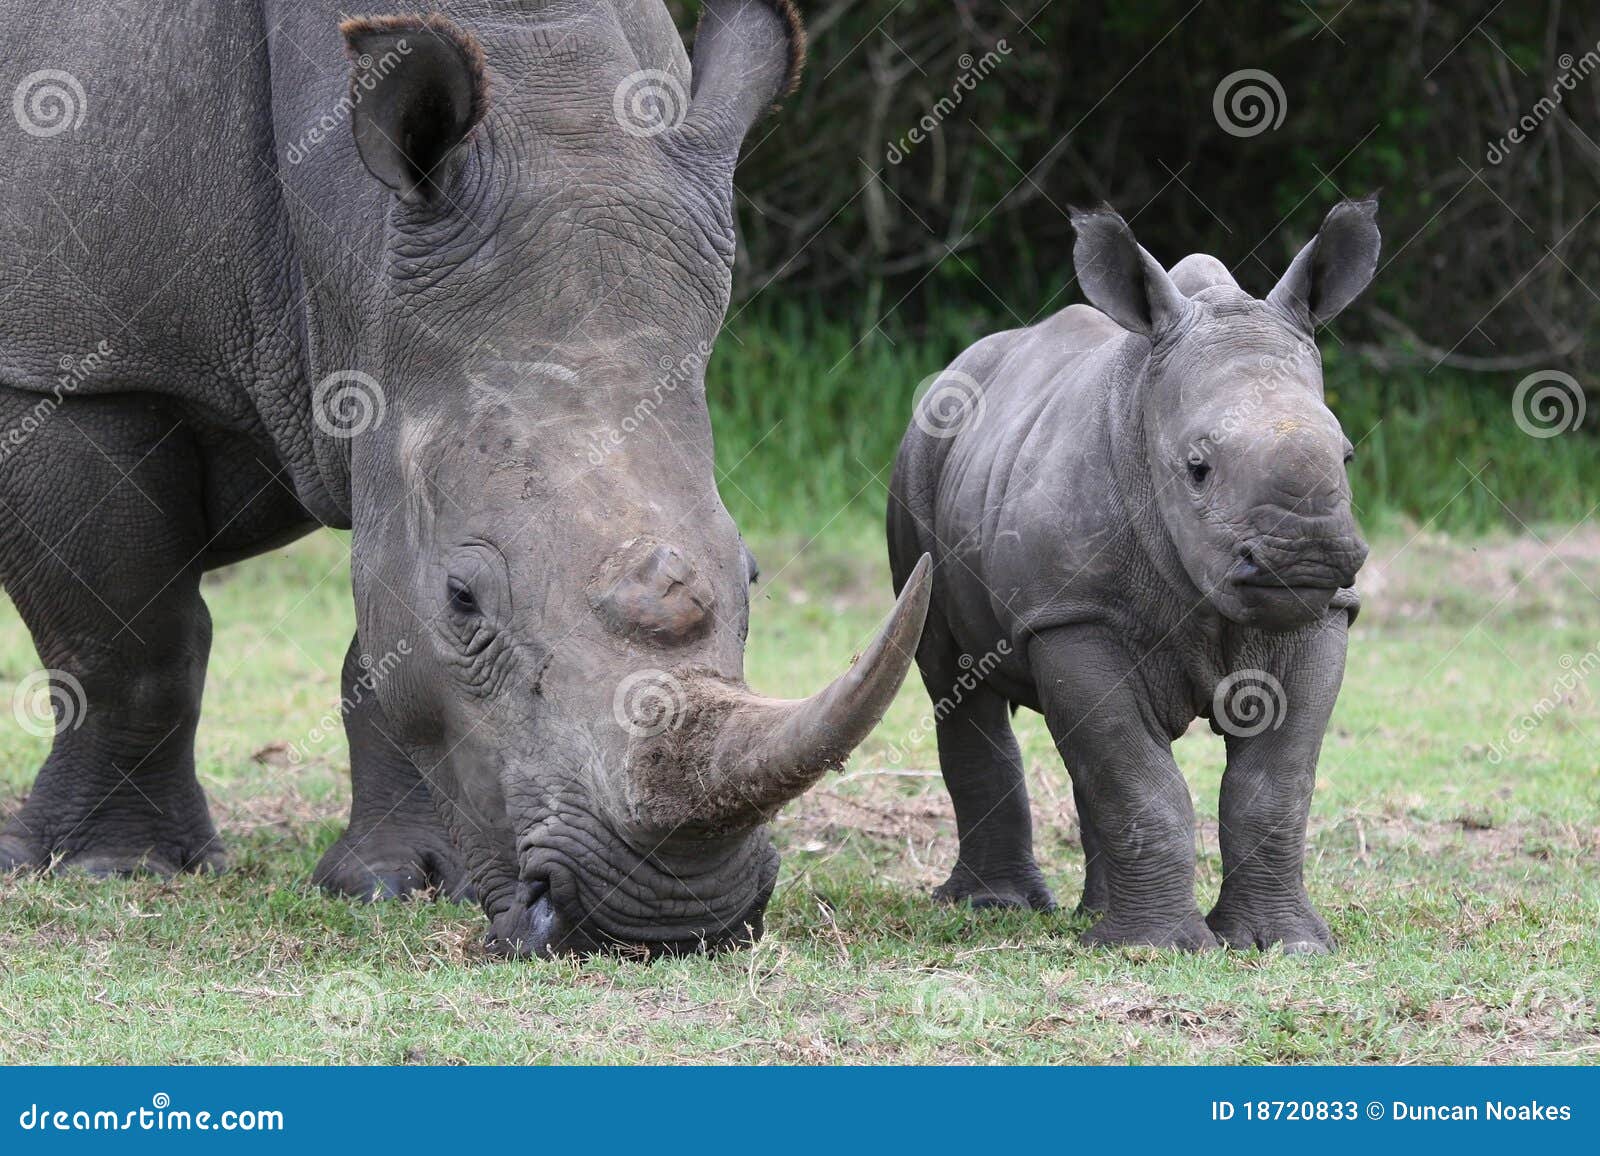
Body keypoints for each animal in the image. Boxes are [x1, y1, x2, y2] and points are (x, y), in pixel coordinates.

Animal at [0, 0, 931, 958]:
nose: (667, 914)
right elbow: (134, 642)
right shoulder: (68, 372)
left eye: (751, 575)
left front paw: (403, 882)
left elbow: (383, 645)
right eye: (464, 598)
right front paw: (112, 869)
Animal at [887, 201, 1378, 952]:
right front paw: (1159, 948)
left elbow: (1275, 783)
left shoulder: (1322, 613)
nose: (1306, 556)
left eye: (1346, 456)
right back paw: (996, 907)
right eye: (1197, 468)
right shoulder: (1074, 614)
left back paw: (1091, 918)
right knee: (953, 676)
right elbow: (1135, 775)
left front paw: (1283, 945)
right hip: (920, 454)